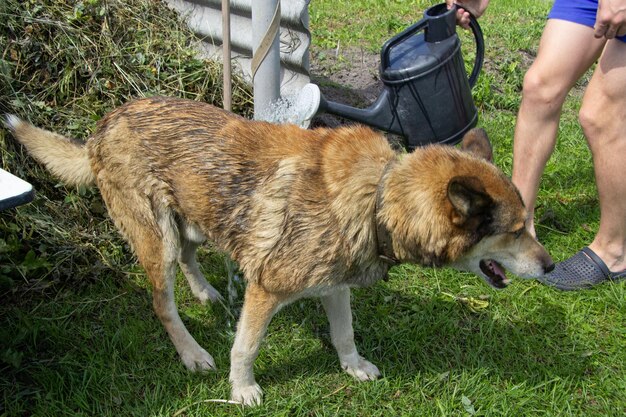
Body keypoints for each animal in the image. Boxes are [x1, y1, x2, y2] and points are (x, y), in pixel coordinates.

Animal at [4, 96, 552, 404]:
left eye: (526, 225)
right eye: (514, 231)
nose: (550, 266)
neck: (378, 199)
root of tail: (101, 126)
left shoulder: (334, 287)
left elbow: (344, 333)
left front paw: (354, 367)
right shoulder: (266, 288)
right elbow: (245, 346)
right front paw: (240, 389)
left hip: (194, 222)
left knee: (188, 260)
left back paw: (205, 294)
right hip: (157, 240)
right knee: (162, 303)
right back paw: (192, 352)